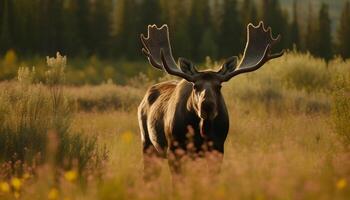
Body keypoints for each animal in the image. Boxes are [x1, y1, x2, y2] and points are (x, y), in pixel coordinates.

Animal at [138, 21, 284, 176]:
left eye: (219, 86)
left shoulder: (218, 149)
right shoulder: (174, 149)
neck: (202, 130)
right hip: (148, 143)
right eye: (195, 86)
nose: (207, 106)